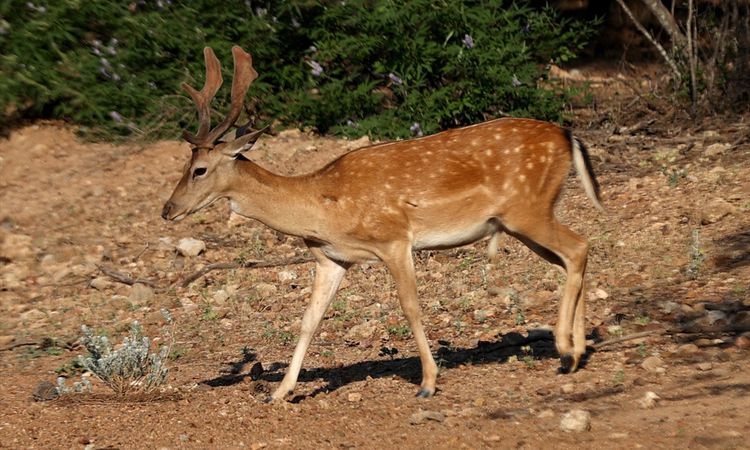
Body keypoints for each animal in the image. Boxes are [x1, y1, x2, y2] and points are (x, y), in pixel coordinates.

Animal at [162, 46, 603, 402]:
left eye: (199, 169)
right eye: (185, 166)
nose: (167, 209)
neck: (323, 207)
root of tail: (569, 135)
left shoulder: (394, 239)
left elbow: (411, 307)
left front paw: (427, 383)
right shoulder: (331, 258)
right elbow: (308, 320)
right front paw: (281, 393)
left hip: (527, 208)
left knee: (579, 246)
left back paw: (565, 351)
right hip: (520, 221)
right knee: (572, 256)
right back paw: (578, 351)